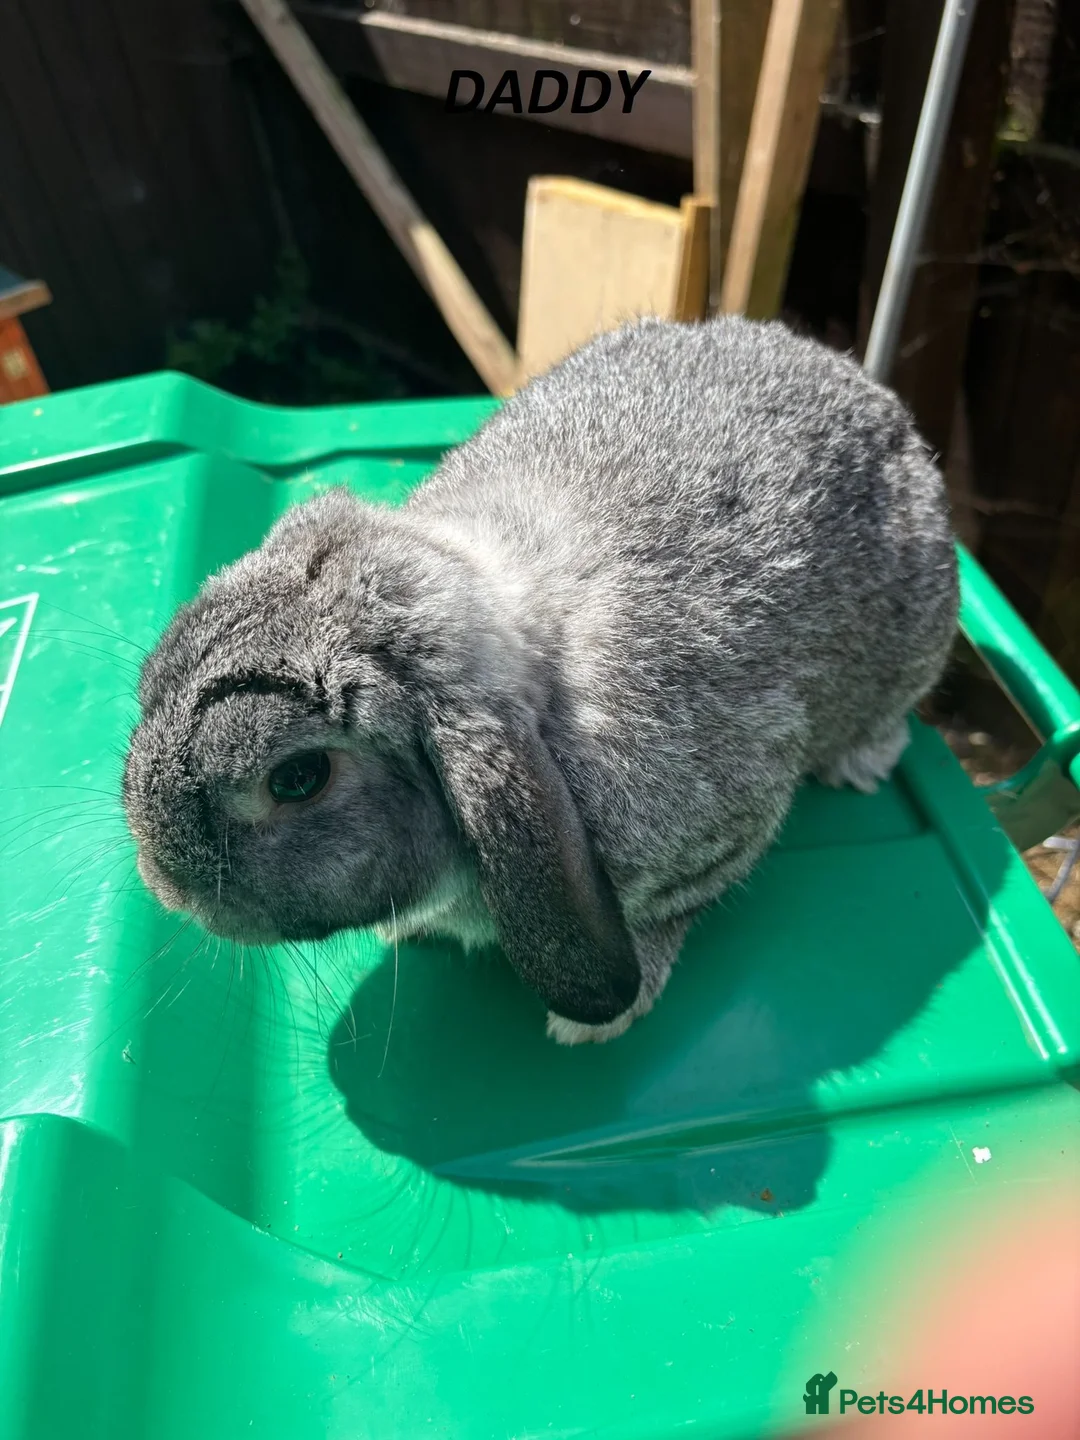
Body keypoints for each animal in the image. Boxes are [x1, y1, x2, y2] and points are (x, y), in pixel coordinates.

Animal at [122, 315, 959, 1045]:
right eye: (150, 683)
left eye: (297, 778)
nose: (166, 886)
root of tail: (864, 387)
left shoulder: (728, 825)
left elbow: (670, 914)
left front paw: (599, 1019)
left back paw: (862, 760)